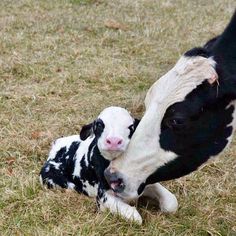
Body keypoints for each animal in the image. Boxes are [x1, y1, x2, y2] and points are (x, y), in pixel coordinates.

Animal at [39, 106, 178, 224]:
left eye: (131, 126)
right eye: (99, 124)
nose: (114, 141)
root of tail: (55, 146)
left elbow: (172, 203)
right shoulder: (103, 195)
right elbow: (133, 216)